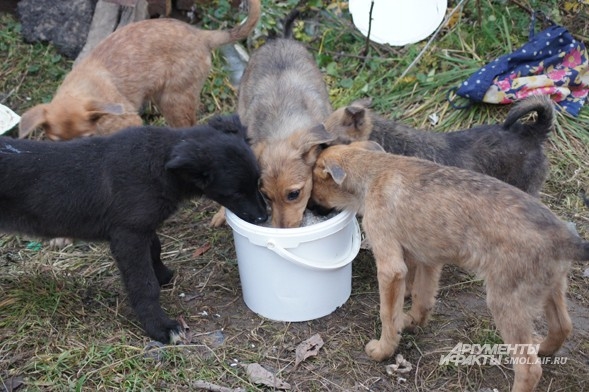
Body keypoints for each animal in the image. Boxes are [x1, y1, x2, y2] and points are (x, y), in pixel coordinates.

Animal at [0, 114, 266, 344]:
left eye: (258, 182)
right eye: (235, 193)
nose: (263, 217)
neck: (159, 163)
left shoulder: (140, 226)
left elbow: (155, 248)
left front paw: (162, 273)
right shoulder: (128, 236)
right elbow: (143, 284)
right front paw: (160, 326)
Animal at [17, 0, 260, 141]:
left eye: (86, 138)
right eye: (54, 142)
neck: (79, 91)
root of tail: (201, 36)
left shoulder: (128, 122)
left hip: (175, 101)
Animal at [310, 142, 584, 392]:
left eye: (313, 188)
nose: (309, 209)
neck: (373, 170)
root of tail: (567, 239)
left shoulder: (390, 268)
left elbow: (387, 314)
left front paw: (383, 349)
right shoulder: (428, 260)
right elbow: (422, 298)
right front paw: (411, 321)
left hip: (507, 302)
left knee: (529, 368)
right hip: (551, 288)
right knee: (562, 326)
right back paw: (542, 347)